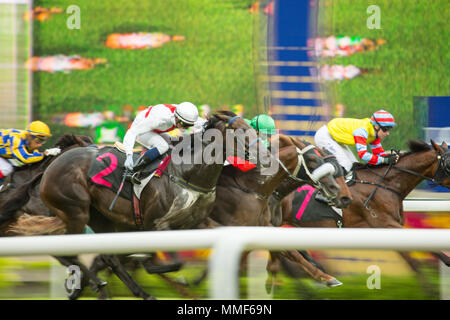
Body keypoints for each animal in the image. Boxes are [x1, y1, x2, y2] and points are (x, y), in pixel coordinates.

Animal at [8, 111, 264, 298]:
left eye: (250, 126)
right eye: (239, 130)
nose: (262, 151)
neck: (187, 172)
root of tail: (51, 166)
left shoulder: (197, 223)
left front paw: (195, 280)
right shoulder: (156, 224)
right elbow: (169, 263)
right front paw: (165, 272)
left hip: (101, 218)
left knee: (107, 257)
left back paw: (138, 292)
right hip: (75, 211)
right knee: (70, 251)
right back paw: (94, 283)